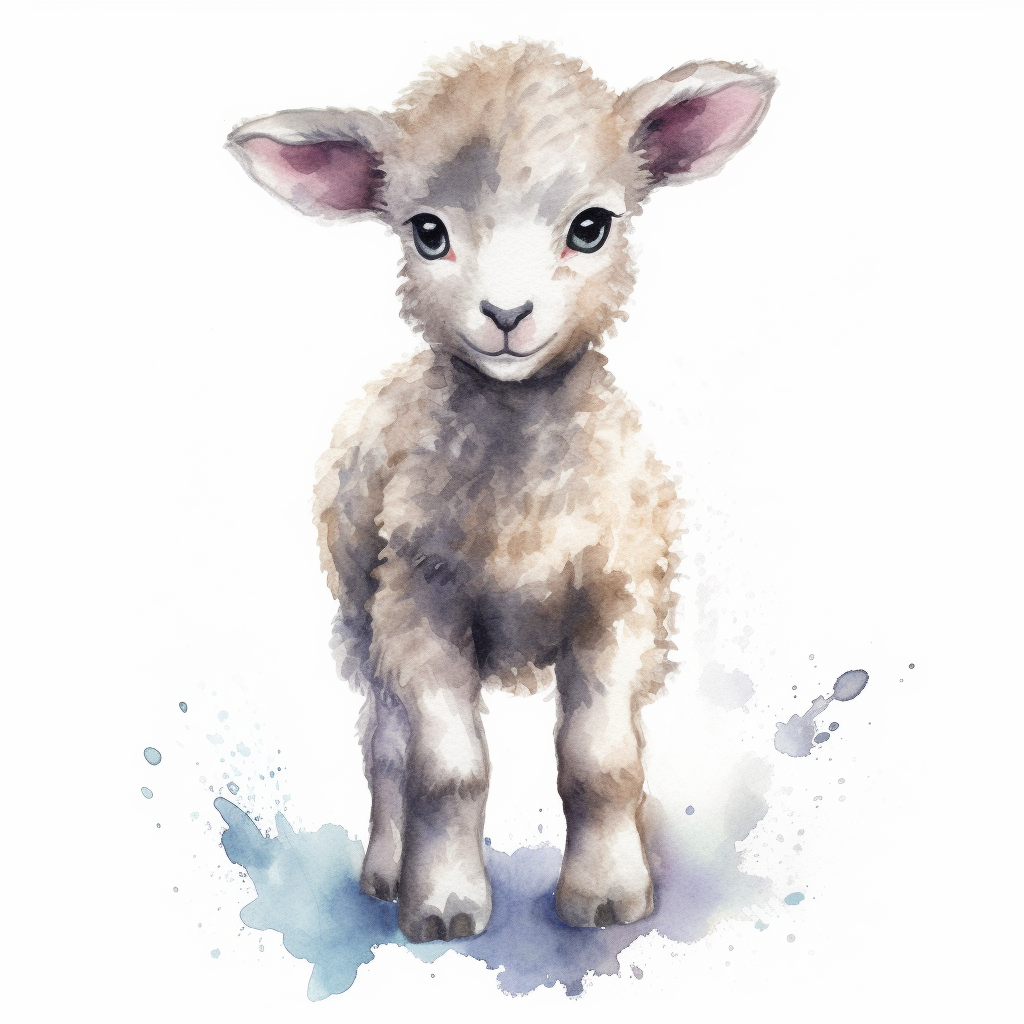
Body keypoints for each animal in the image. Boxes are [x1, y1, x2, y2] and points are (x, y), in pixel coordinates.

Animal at [228, 41, 775, 943]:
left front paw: (608, 898)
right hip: (361, 620)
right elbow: (447, 771)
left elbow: (601, 763)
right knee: (384, 749)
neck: (525, 503)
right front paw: (444, 905)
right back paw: (387, 870)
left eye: (592, 226)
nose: (507, 314)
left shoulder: (619, 603)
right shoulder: (418, 608)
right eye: (428, 232)